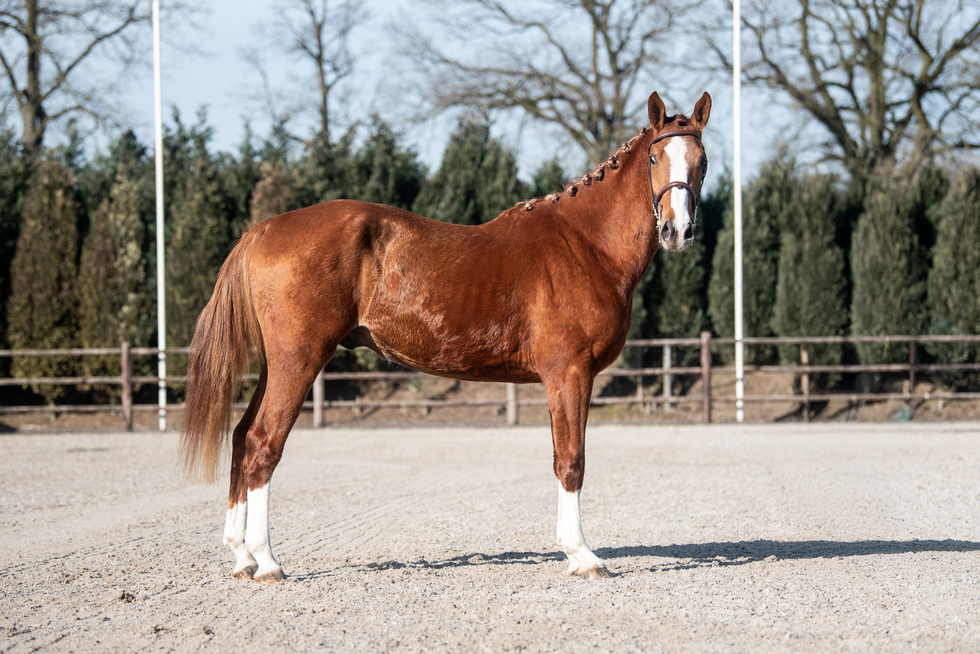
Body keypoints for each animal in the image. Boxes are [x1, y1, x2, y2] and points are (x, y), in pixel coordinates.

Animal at [179, 90, 711, 582]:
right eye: (654, 158)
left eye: (702, 162)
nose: (677, 231)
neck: (586, 245)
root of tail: (266, 228)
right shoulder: (569, 374)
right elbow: (571, 461)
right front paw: (582, 555)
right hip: (299, 361)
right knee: (263, 443)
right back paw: (267, 561)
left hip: (276, 365)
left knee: (242, 436)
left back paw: (242, 556)